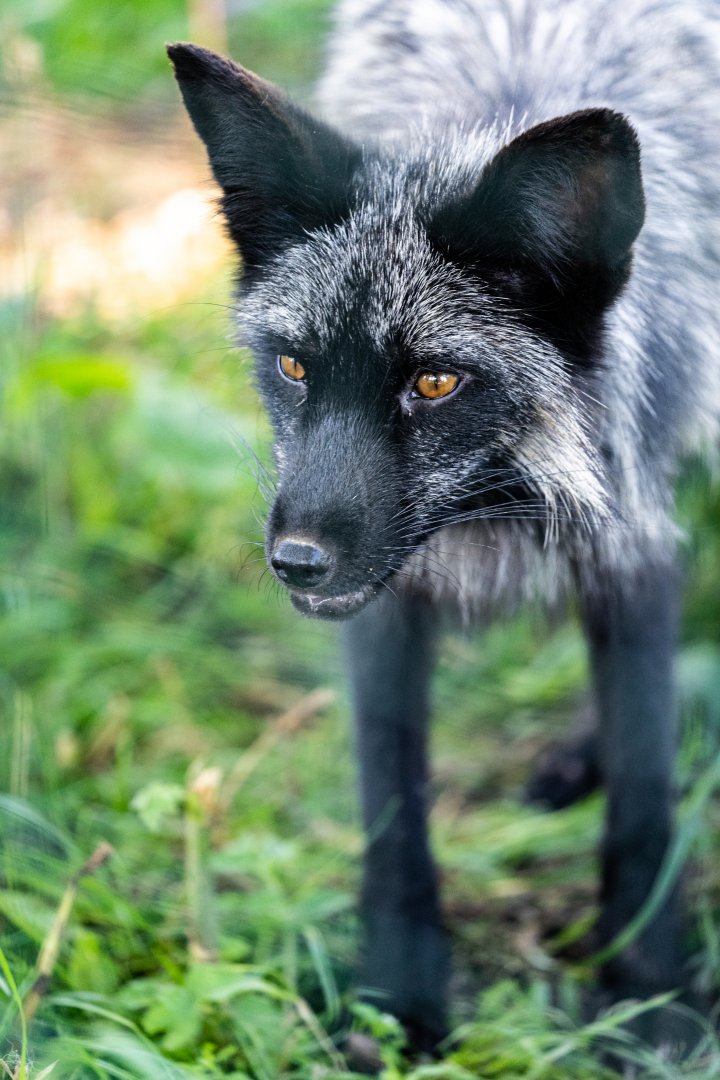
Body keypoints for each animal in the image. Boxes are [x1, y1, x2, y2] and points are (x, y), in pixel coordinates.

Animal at [168, 0, 720, 1054]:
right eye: (294, 368)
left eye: (434, 382)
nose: (296, 563)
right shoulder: (391, 602)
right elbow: (393, 806)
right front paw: (399, 1002)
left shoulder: (633, 546)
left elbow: (644, 801)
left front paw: (649, 996)